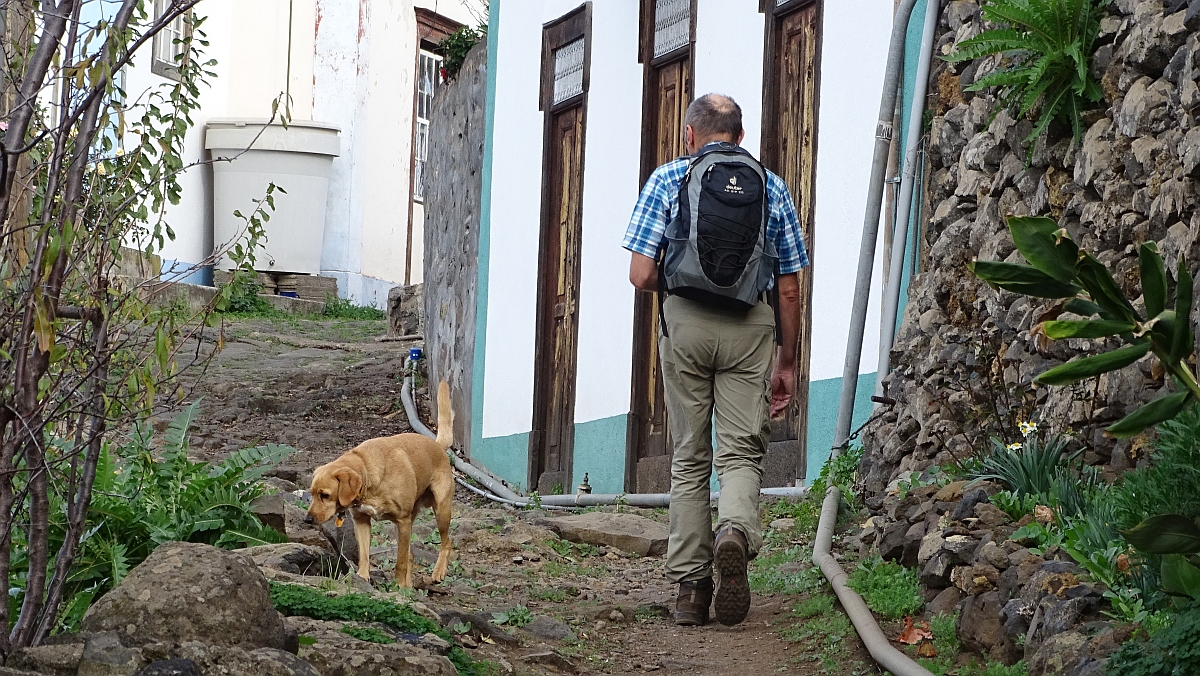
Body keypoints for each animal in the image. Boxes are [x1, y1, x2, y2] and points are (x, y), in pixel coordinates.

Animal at [307, 381, 456, 588]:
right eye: (311, 494)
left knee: (446, 543)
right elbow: (364, 555)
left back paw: (438, 571)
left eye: (325, 495)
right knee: (411, 554)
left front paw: (398, 585)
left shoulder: (402, 521)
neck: (367, 473)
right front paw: (362, 577)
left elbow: (400, 562)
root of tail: (438, 445)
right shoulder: (362, 521)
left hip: (440, 510)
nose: (307, 520)